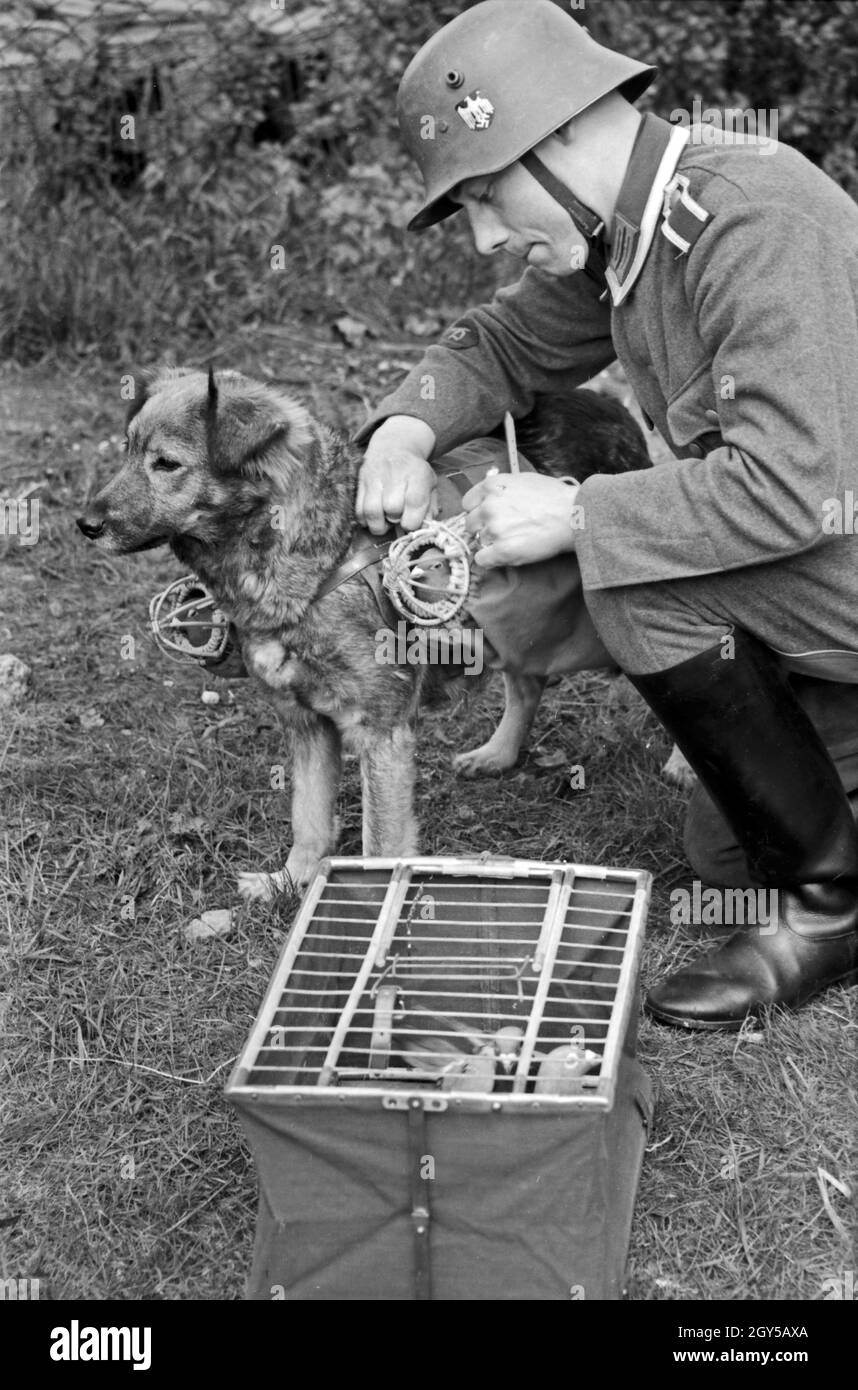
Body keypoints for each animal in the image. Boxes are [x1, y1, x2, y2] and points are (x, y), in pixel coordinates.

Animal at [76, 366, 686, 900]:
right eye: (127, 450)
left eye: (166, 463)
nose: (85, 524)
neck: (319, 557)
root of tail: (612, 406)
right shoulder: (306, 726)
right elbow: (309, 821)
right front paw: (290, 884)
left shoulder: (381, 734)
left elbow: (379, 844)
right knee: (528, 682)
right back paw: (499, 752)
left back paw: (683, 765)